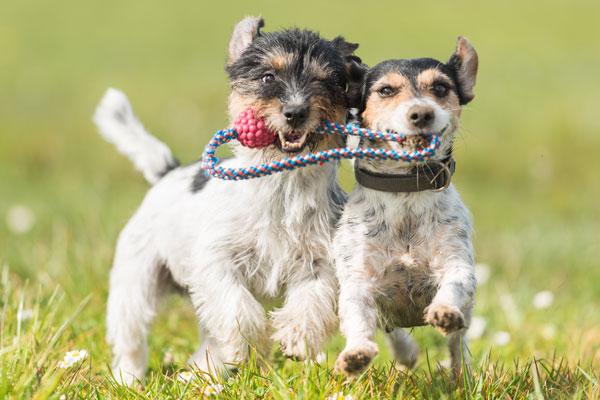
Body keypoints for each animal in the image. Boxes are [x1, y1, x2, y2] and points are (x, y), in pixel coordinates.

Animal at [93, 17, 364, 386]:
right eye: (268, 77)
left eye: (325, 81)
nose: (295, 112)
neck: (282, 186)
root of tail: (168, 172)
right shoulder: (216, 261)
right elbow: (237, 308)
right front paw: (250, 344)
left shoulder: (319, 260)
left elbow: (312, 301)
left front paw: (296, 337)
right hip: (136, 279)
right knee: (131, 334)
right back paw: (128, 378)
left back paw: (199, 373)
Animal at [332, 36, 478, 376]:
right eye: (386, 90)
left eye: (440, 87)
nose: (421, 113)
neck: (406, 191)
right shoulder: (358, 281)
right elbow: (358, 317)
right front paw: (356, 353)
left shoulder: (457, 263)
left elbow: (455, 283)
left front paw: (444, 311)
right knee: (392, 331)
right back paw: (405, 353)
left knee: (458, 343)